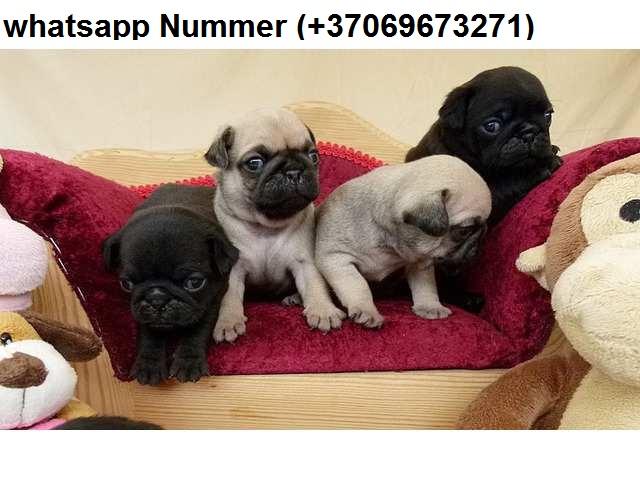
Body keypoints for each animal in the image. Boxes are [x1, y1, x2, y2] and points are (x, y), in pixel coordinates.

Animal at [103, 184, 238, 385]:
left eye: (194, 283)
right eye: (126, 284)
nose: (157, 298)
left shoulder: (211, 300)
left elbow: (197, 330)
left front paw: (189, 362)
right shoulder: (143, 313)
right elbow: (150, 335)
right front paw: (148, 364)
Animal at [205, 108, 346, 343]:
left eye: (313, 156)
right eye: (254, 163)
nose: (294, 171)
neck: (266, 227)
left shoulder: (305, 263)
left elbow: (315, 285)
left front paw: (323, 310)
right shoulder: (234, 269)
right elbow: (230, 296)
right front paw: (228, 321)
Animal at [315, 155, 491, 328]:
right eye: (464, 231)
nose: (482, 234)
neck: (392, 240)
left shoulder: (421, 262)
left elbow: (426, 286)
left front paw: (430, 306)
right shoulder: (336, 258)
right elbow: (358, 285)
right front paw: (367, 310)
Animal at [406, 66, 561, 225]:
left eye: (548, 116)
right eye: (492, 126)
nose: (528, 132)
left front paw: (551, 150)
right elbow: (507, 183)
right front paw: (543, 164)